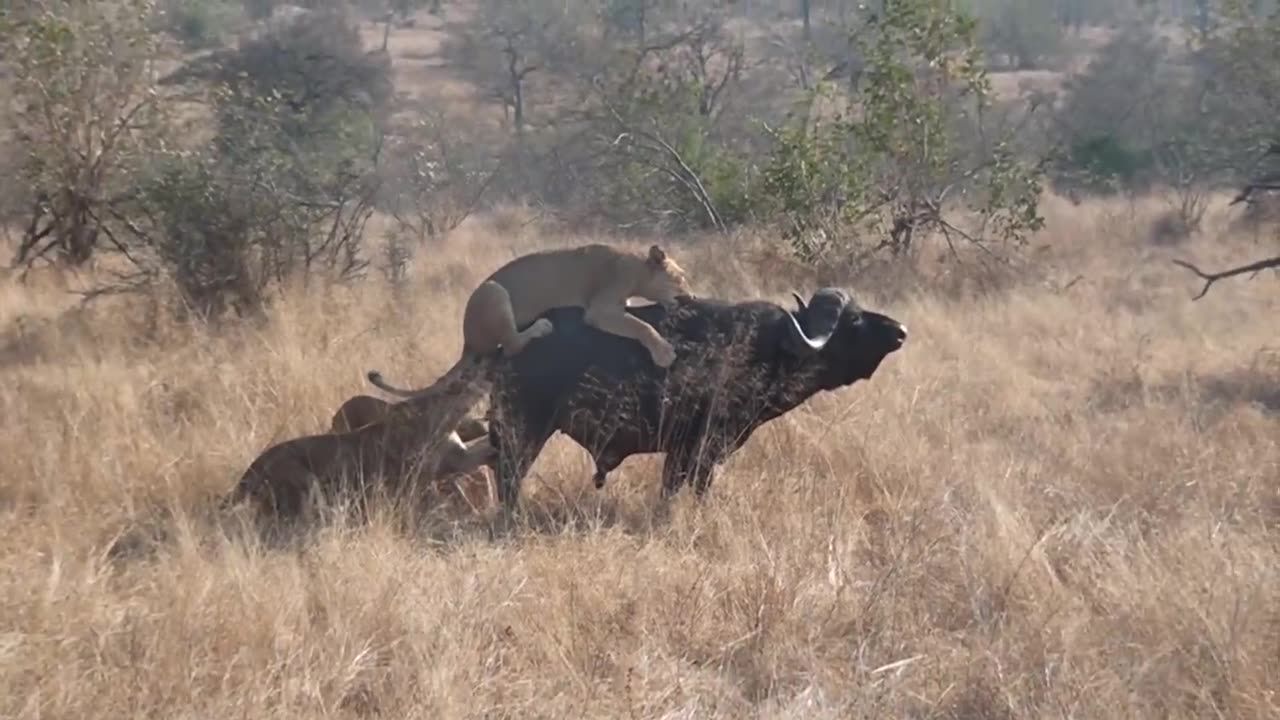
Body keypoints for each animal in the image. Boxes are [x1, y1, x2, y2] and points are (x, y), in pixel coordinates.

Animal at [481, 285, 911, 509]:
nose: (901, 330)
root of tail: (508, 341)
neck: (773, 347)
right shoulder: (705, 444)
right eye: (853, 320)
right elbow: (695, 487)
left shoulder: (683, 450)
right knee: (508, 477)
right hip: (526, 430)